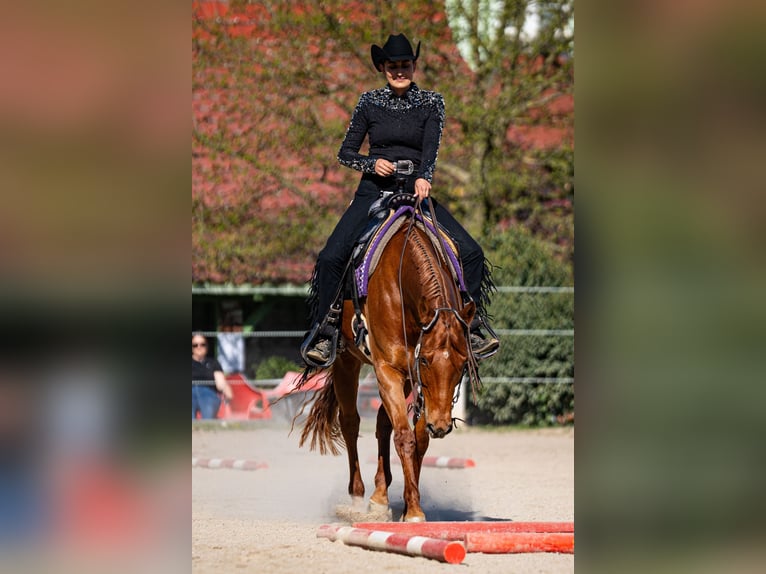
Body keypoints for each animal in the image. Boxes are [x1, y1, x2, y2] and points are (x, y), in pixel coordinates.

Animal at [297, 201, 479, 522]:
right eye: (426, 361)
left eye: (461, 365)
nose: (441, 426)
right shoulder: (389, 368)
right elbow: (405, 437)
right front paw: (415, 511)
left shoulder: (412, 379)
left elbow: (417, 439)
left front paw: (407, 504)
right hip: (347, 362)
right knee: (351, 422)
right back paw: (358, 497)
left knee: (383, 422)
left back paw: (380, 496)